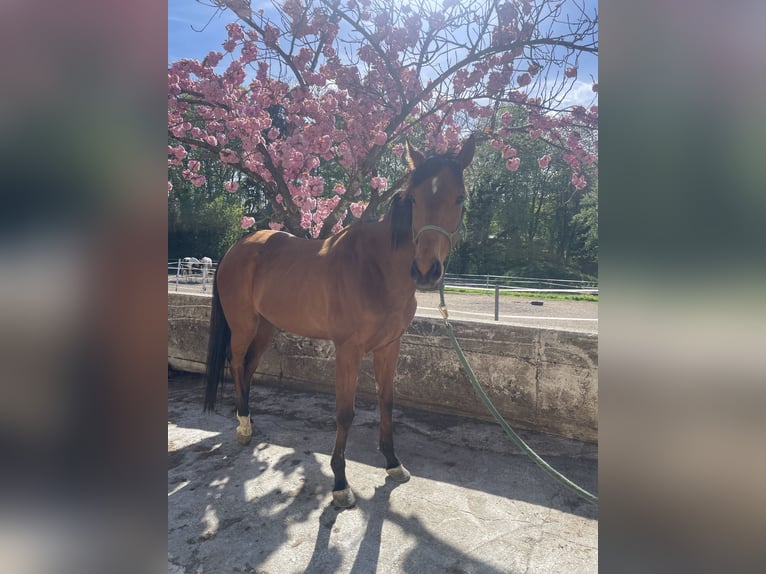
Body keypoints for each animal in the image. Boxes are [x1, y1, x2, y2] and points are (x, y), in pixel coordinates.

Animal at [204, 135, 475, 508]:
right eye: (414, 199)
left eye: (459, 197)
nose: (425, 271)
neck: (377, 268)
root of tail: (236, 247)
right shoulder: (348, 350)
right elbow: (345, 412)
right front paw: (341, 484)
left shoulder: (389, 346)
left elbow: (387, 402)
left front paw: (393, 463)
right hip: (244, 326)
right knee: (235, 361)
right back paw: (243, 427)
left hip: (266, 326)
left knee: (247, 367)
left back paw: (250, 421)